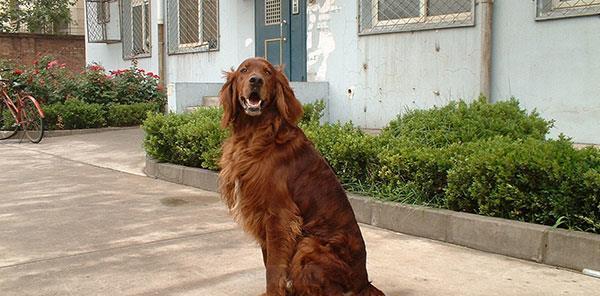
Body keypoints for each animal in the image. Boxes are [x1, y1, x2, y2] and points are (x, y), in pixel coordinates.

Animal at [219, 57, 384, 296]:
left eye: (267, 72)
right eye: (244, 70)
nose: (255, 80)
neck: (255, 134)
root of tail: (363, 283)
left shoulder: (279, 216)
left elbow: (273, 268)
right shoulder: (263, 217)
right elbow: (269, 262)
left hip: (308, 243)